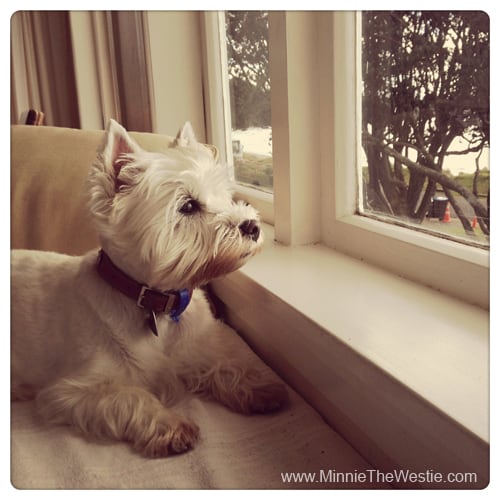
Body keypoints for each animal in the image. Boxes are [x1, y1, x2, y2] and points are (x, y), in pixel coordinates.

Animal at [10, 121, 286, 458]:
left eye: (224, 197)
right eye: (188, 205)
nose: (252, 226)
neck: (156, 303)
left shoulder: (194, 349)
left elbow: (222, 363)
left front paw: (259, 387)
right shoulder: (71, 391)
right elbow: (130, 397)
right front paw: (172, 426)